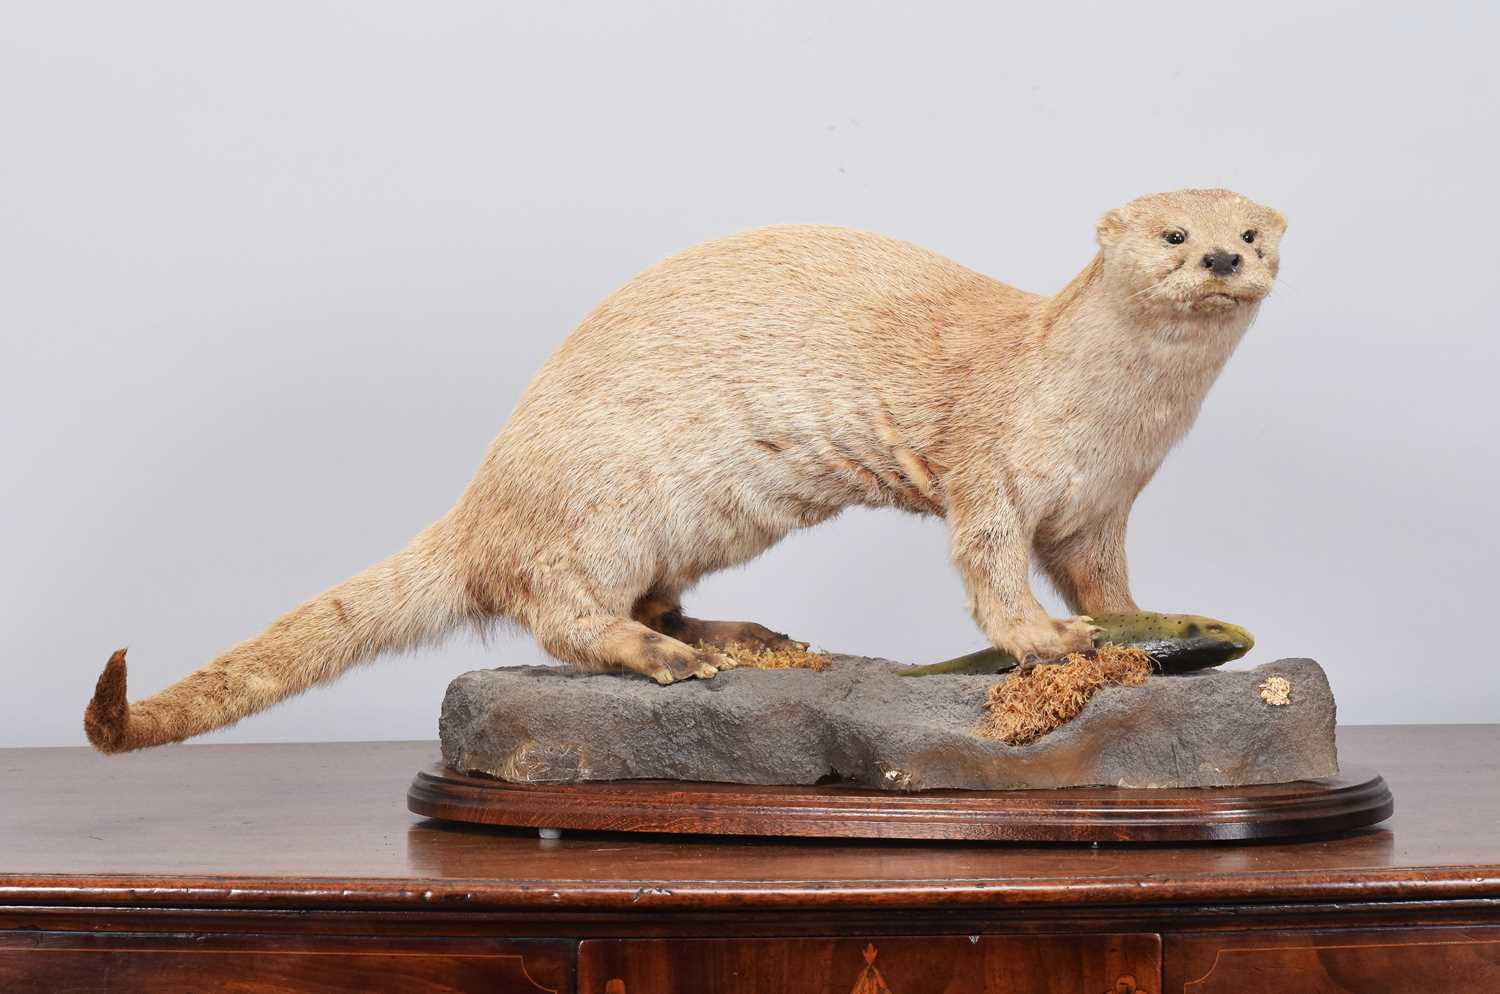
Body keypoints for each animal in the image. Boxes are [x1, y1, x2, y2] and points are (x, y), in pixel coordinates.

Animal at [85, 188, 1285, 753]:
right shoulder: (984, 460)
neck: (1108, 418)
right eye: (1174, 234)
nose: (1227, 256)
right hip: (601, 507)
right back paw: (663, 658)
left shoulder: (1103, 506)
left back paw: (736, 636)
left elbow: (1108, 579)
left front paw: (1145, 626)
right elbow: (991, 570)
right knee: (561, 610)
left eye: (1254, 231)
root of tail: (483, 505)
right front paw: (1047, 641)